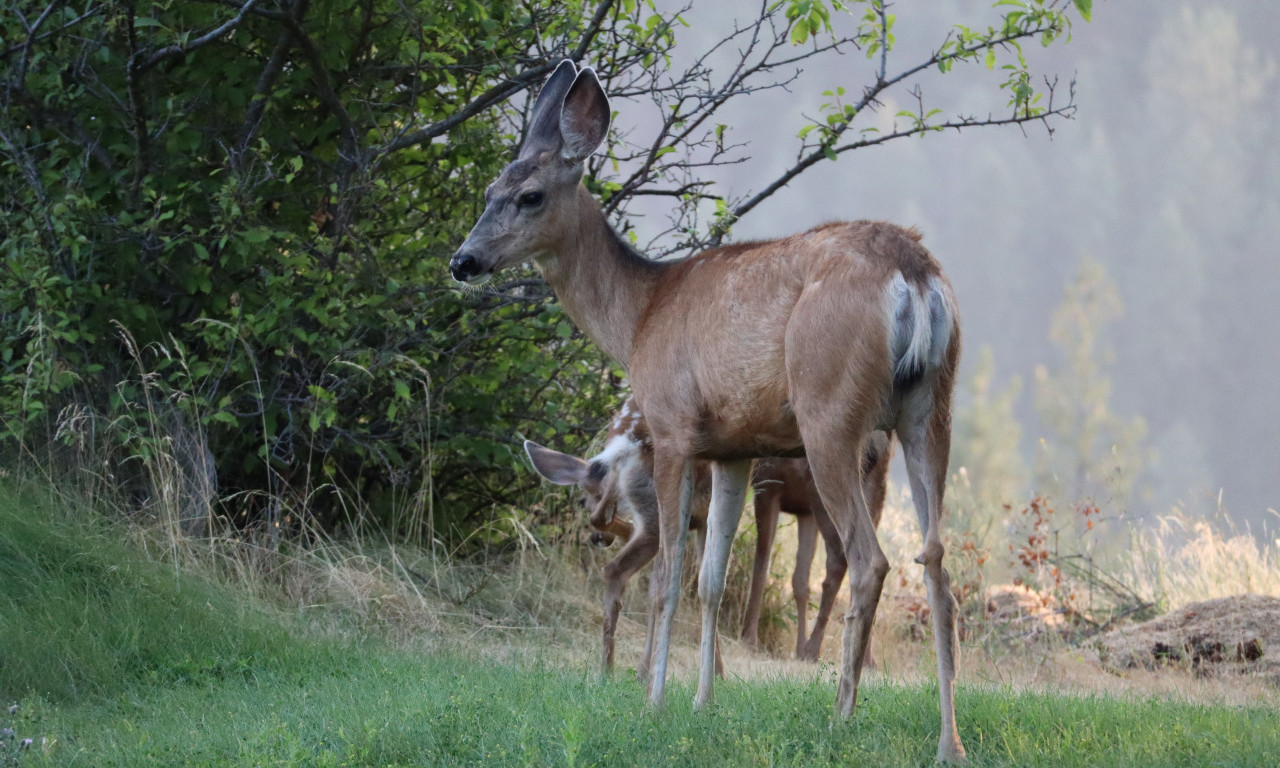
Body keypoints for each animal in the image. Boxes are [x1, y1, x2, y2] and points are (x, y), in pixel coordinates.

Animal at [450, 61, 962, 762]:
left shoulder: (671, 428)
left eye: (528, 195)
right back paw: (948, 742)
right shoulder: (734, 448)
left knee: (870, 561)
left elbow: (667, 576)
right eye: (488, 189)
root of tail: (914, 273)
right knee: (936, 560)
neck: (640, 315)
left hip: (830, 410)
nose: (463, 260)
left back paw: (841, 718)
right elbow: (711, 580)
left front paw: (654, 700)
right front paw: (702, 703)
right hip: (931, 408)